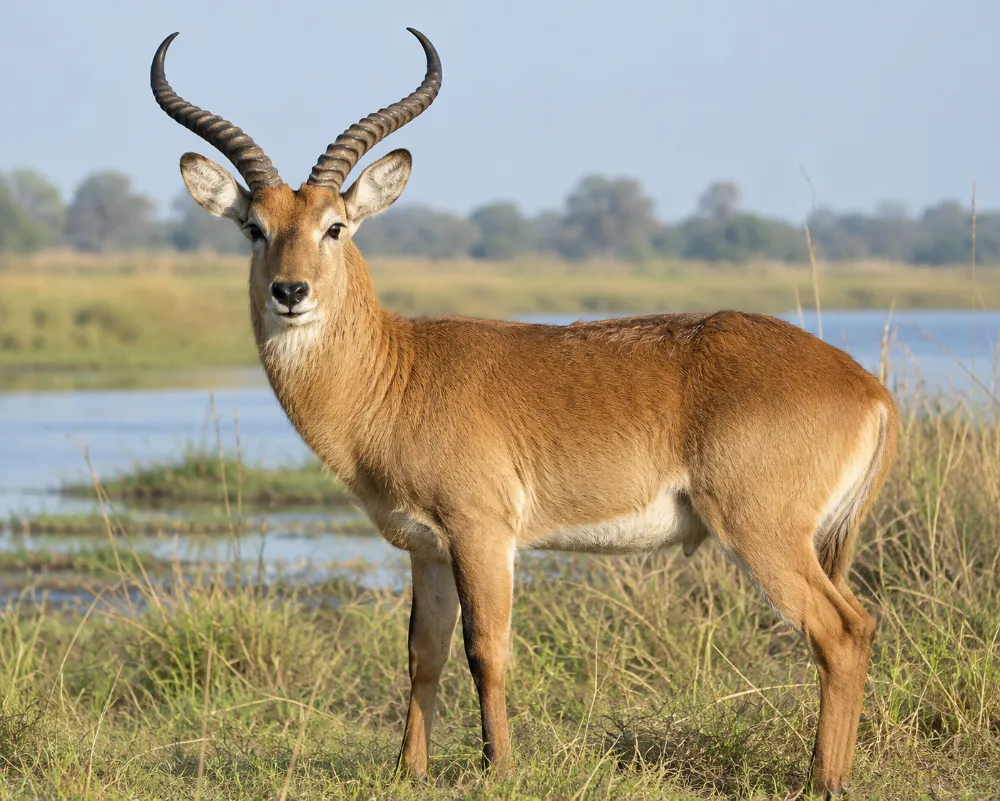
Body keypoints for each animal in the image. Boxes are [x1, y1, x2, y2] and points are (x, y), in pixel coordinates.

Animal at [151, 28, 897, 798]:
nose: (290, 291)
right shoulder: (427, 547)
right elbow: (423, 652)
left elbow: (487, 648)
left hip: (762, 532)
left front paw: (499, 766)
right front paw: (409, 770)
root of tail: (867, 388)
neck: (398, 372)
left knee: (842, 630)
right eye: (253, 227)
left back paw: (824, 780)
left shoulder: (482, 532)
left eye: (335, 226)